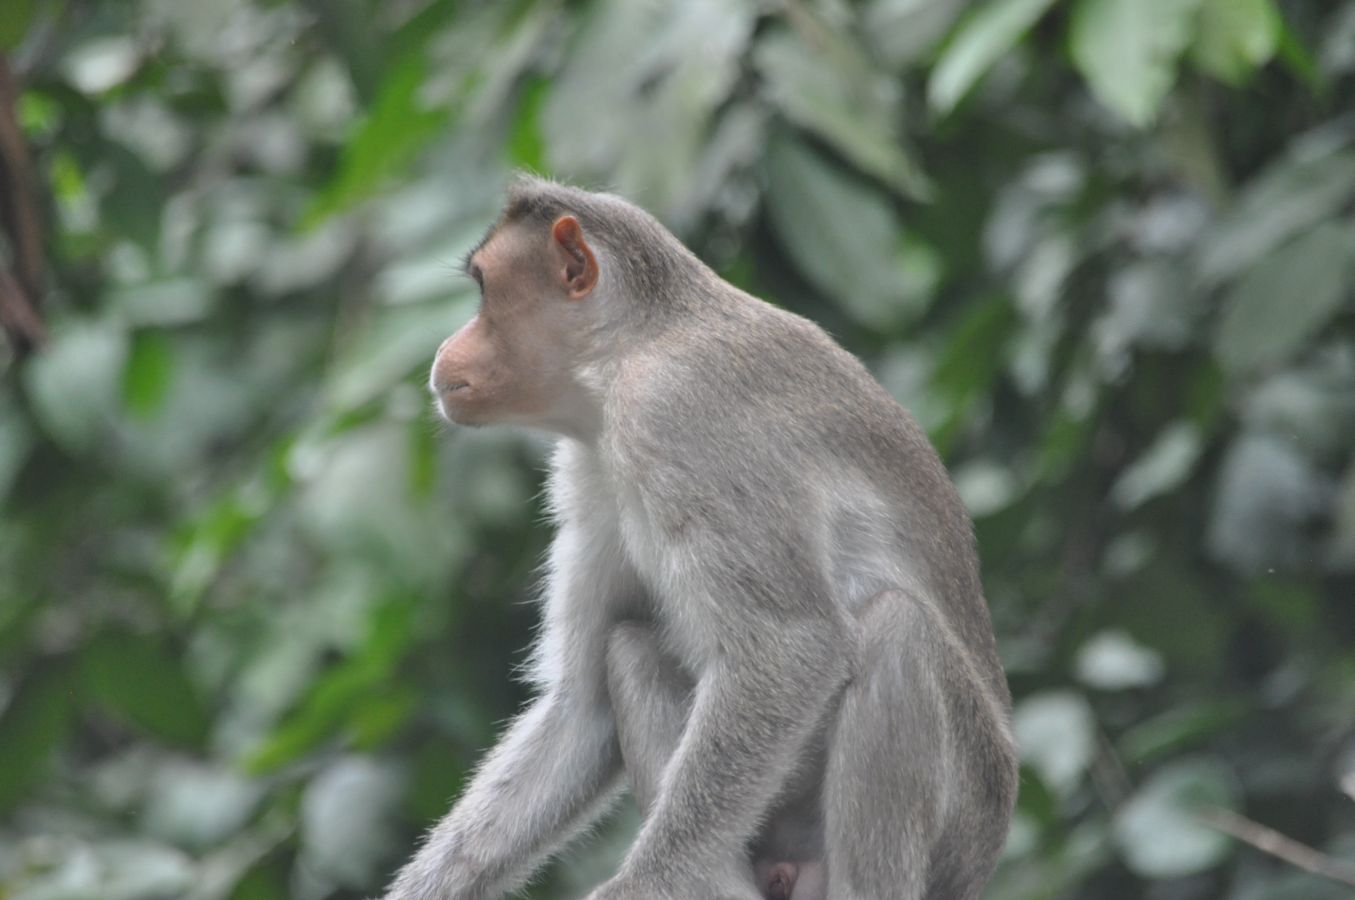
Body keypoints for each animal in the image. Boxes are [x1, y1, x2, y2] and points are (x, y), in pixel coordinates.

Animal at [384, 177, 1018, 900]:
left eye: (486, 290)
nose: (445, 349)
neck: (626, 355)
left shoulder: (675, 417)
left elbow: (790, 647)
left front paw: (638, 887)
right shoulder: (589, 469)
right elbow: (583, 709)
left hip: (966, 819)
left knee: (898, 632)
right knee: (629, 647)